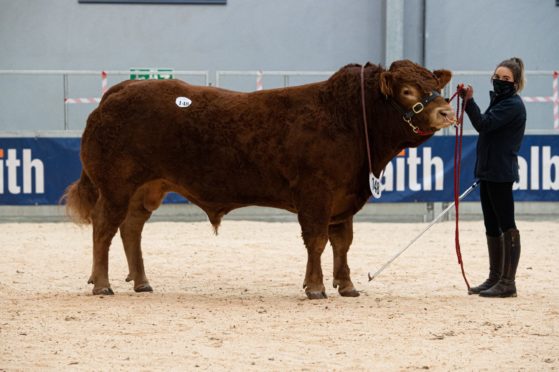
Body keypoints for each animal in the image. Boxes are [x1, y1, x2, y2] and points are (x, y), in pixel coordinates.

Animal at [65, 60, 458, 300]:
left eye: (435, 85)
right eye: (407, 91)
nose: (446, 112)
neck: (348, 120)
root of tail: (119, 91)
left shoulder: (343, 199)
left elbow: (342, 243)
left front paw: (346, 285)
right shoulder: (315, 194)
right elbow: (317, 241)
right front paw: (315, 287)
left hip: (148, 188)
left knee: (131, 228)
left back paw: (142, 281)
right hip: (115, 187)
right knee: (104, 228)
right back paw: (102, 284)